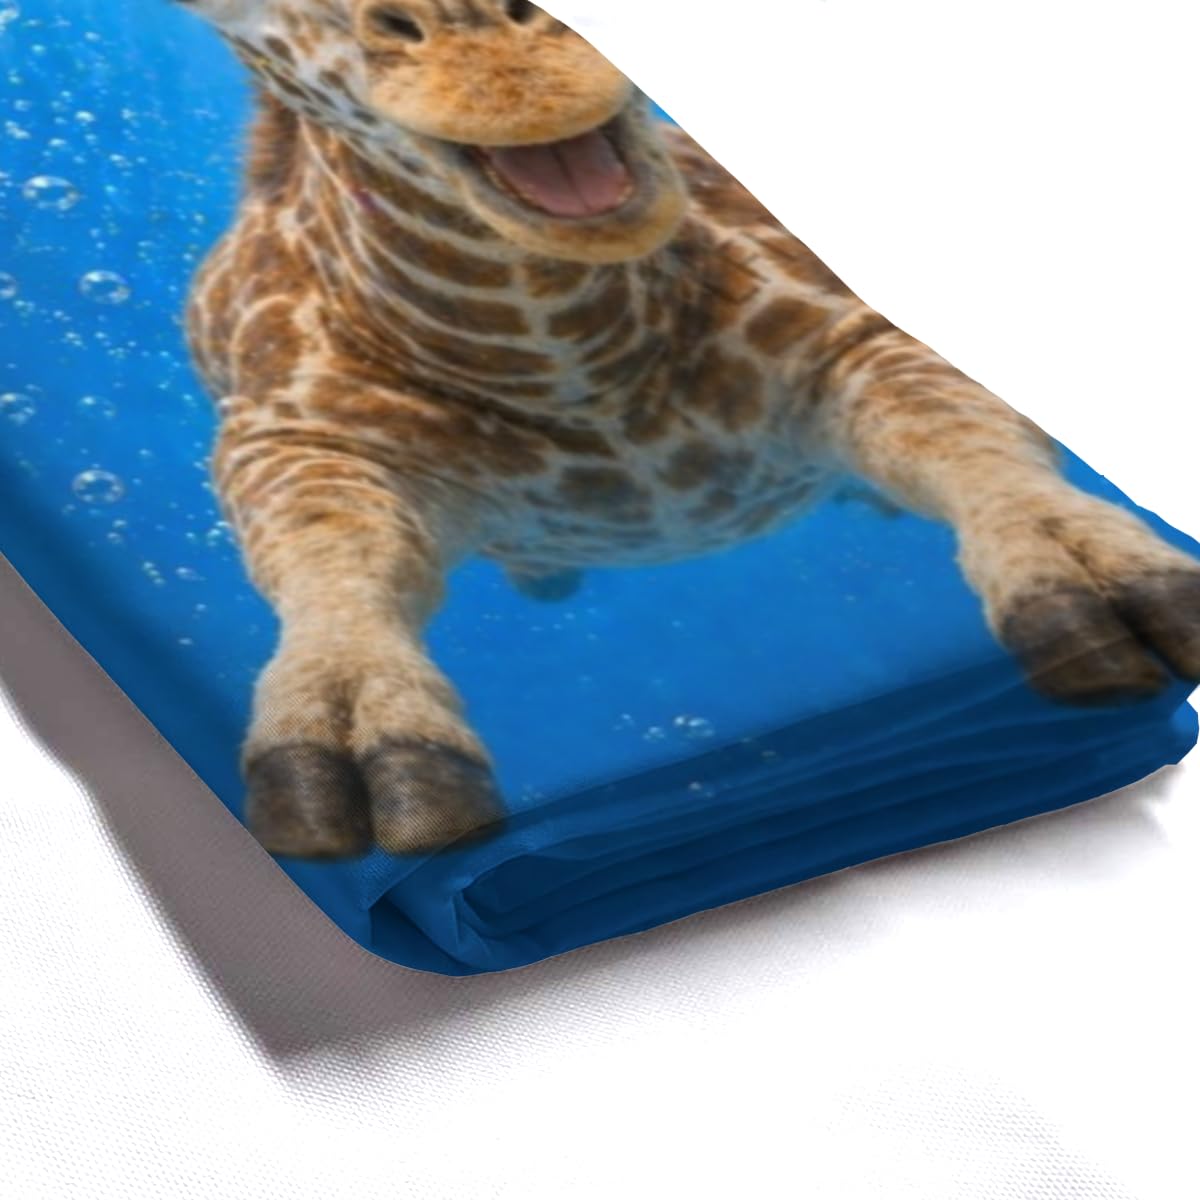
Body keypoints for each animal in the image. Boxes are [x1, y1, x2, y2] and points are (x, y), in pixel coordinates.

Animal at [176, 0, 1200, 860]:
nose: (506, 62)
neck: (571, 367)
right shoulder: (288, 438)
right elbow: (335, 555)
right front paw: (358, 732)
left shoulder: (850, 334)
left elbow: (960, 434)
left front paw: (1090, 570)